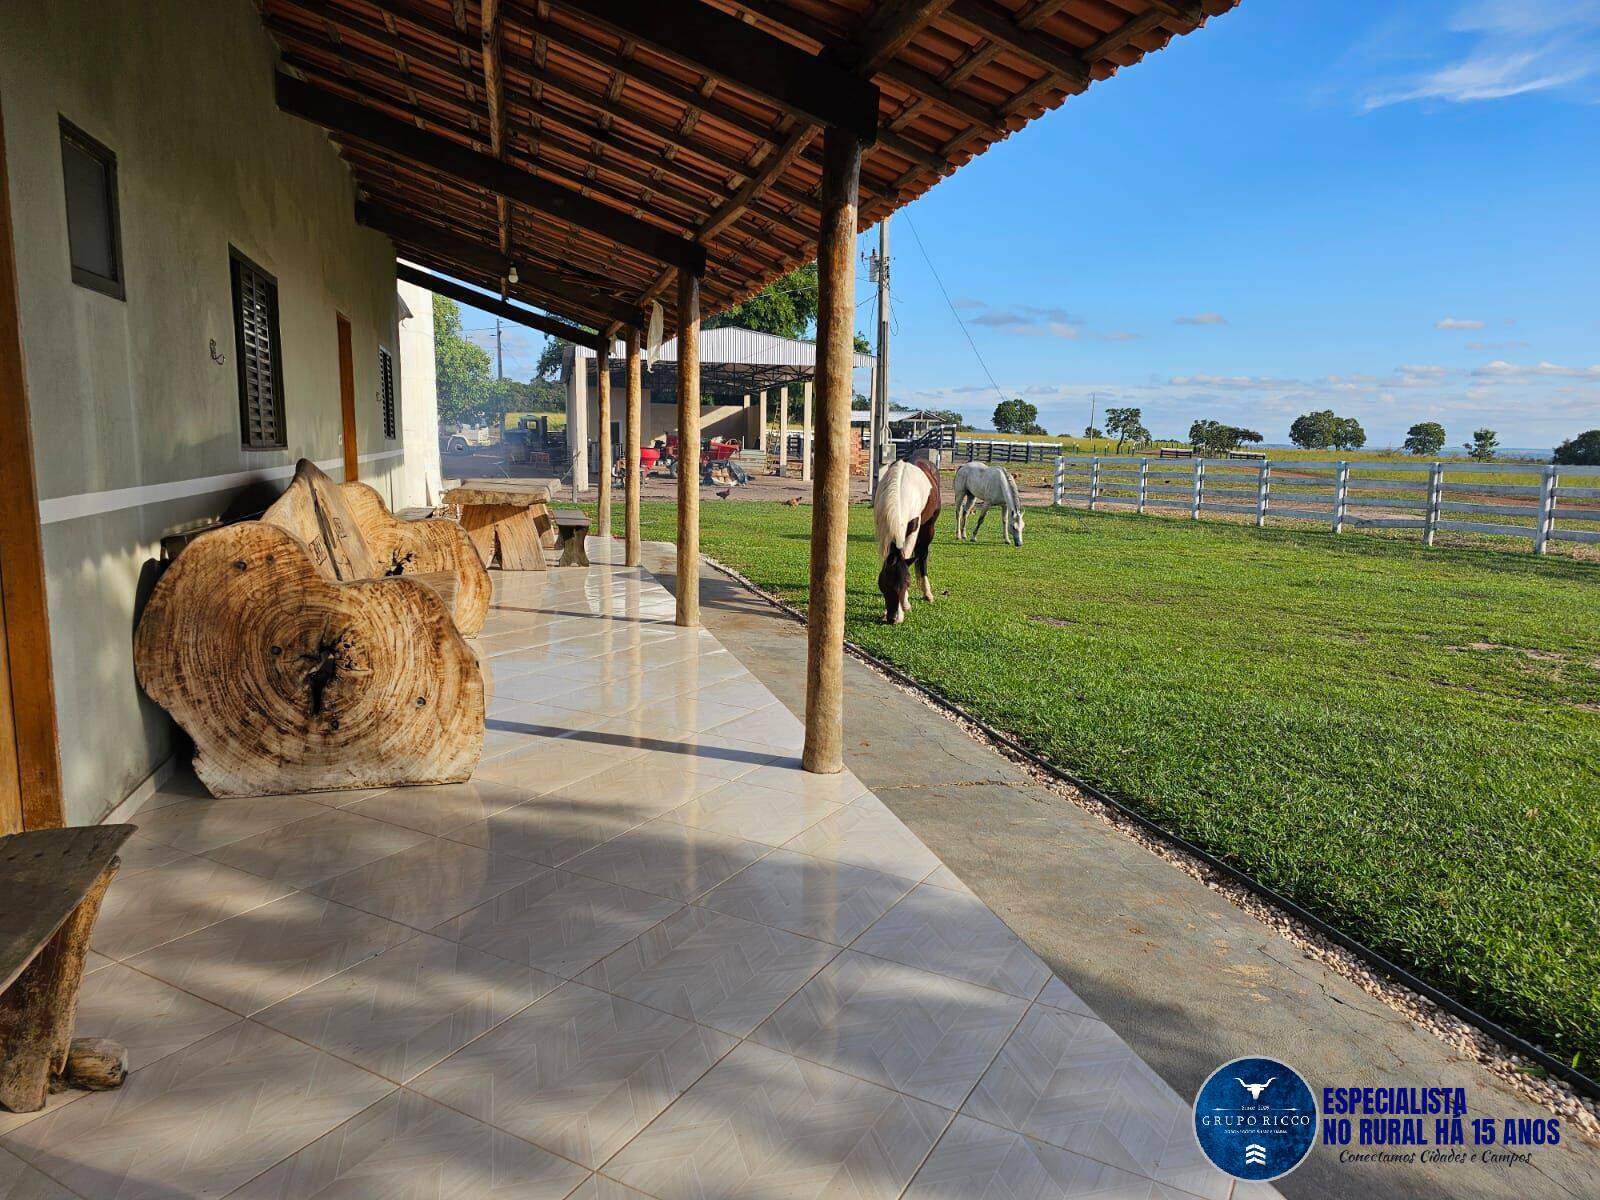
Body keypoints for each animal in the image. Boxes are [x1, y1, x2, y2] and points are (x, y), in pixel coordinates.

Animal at [876, 457, 934, 630]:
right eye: (882, 583)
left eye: (907, 584)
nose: (893, 618)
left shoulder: (914, 526)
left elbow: (908, 554)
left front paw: (906, 605)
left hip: (928, 528)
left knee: (922, 555)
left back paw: (927, 593)